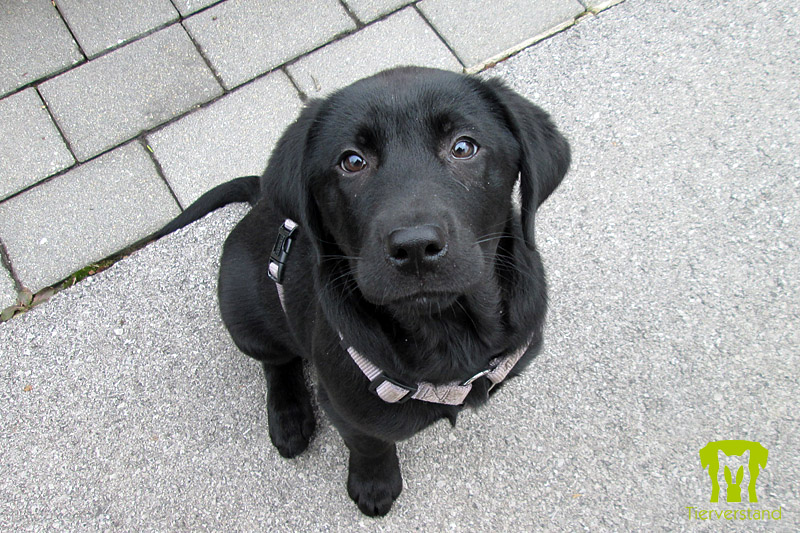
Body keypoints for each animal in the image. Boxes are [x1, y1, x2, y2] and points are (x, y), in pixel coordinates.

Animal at [155, 65, 568, 516]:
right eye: (352, 161)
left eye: (464, 147)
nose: (415, 247)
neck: (445, 329)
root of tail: (261, 200)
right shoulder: (346, 408)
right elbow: (371, 444)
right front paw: (375, 484)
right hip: (244, 312)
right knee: (276, 362)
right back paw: (289, 416)